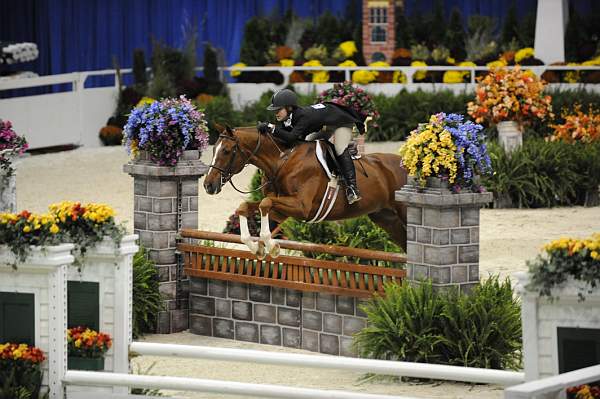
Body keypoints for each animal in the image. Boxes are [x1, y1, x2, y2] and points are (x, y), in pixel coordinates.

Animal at [204, 126, 410, 260]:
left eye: (226, 151)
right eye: (213, 149)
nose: (208, 185)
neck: (281, 160)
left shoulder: (302, 207)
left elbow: (265, 203)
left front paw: (273, 247)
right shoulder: (282, 209)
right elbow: (247, 206)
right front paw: (258, 248)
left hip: (402, 212)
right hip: (386, 218)